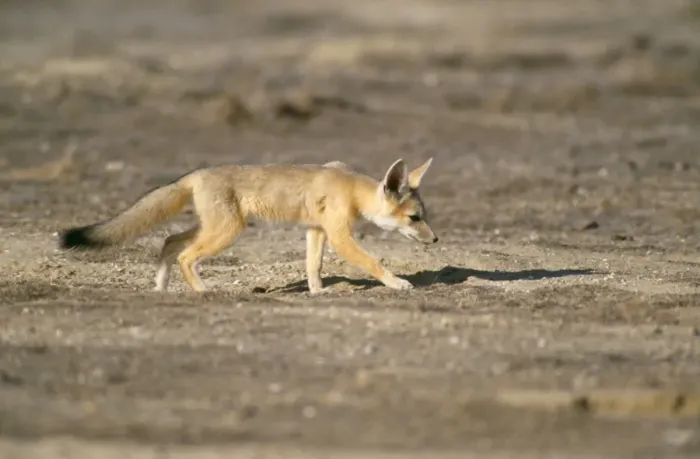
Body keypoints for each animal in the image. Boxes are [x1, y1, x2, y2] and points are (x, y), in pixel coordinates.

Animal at [58, 158, 438, 294]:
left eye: (424, 216)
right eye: (414, 218)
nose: (435, 240)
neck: (350, 187)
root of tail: (196, 173)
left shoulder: (316, 231)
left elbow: (313, 265)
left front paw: (317, 292)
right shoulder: (339, 235)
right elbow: (373, 262)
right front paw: (397, 283)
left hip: (214, 228)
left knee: (169, 242)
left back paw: (161, 286)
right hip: (226, 232)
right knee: (185, 256)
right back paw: (203, 291)